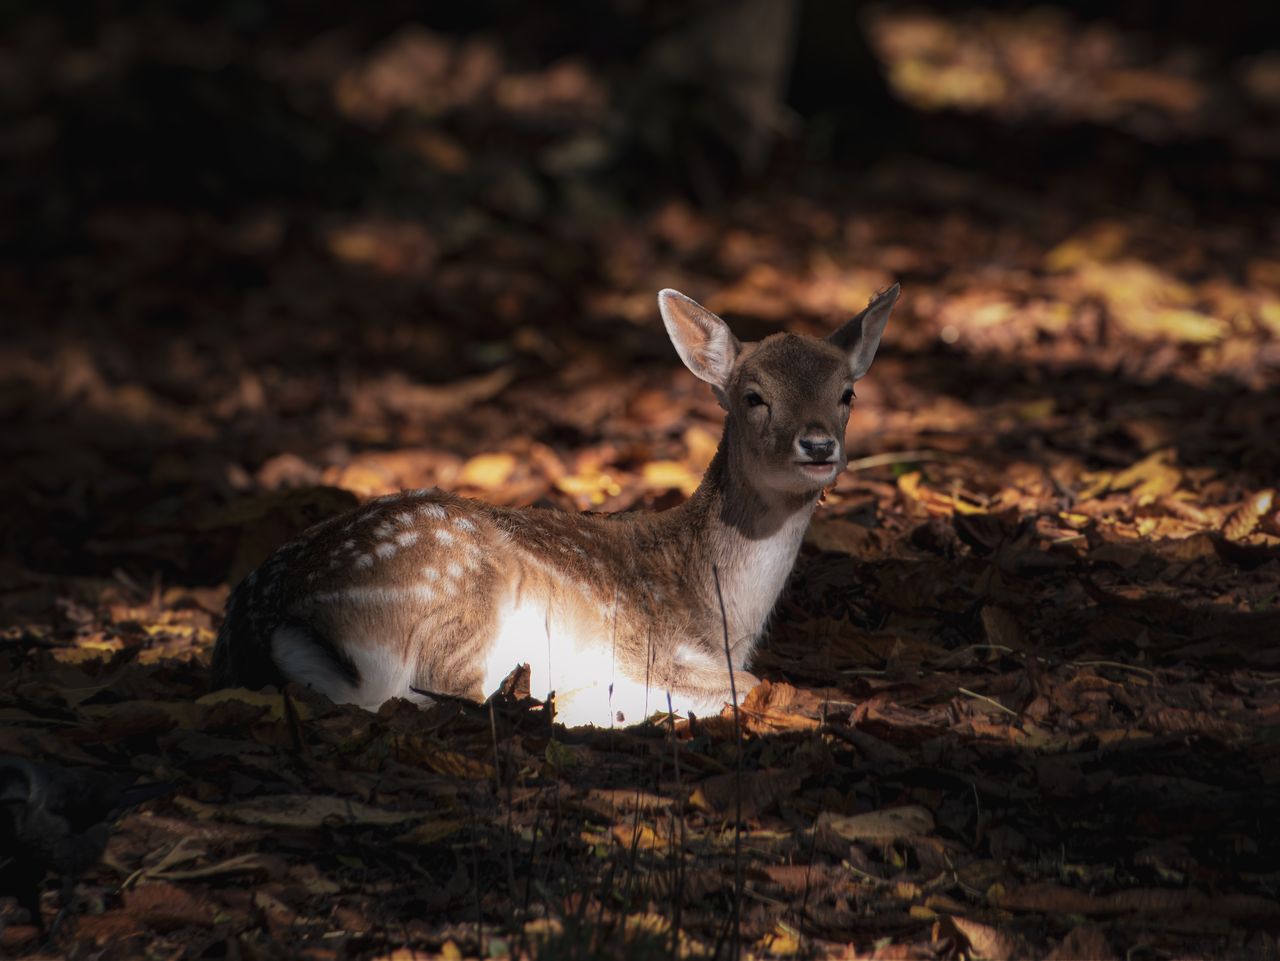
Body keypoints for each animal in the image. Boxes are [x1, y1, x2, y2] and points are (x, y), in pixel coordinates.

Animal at [213, 284, 899, 727]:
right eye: (754, 396)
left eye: (848, 393)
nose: (819, 445)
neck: (722, 614)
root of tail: (266, 622)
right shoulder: (655, 649)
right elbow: (754, 684)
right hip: (453, 597)